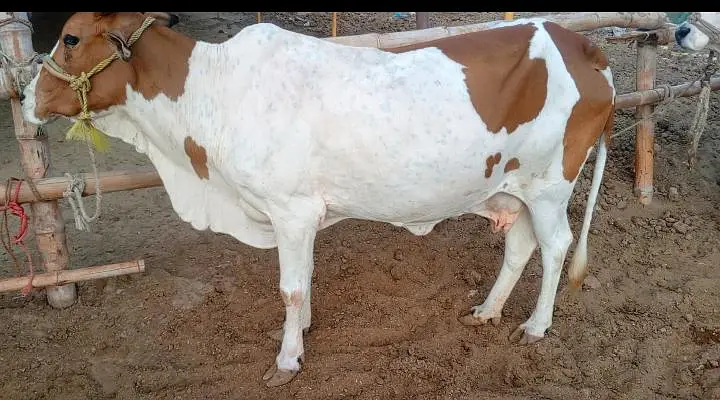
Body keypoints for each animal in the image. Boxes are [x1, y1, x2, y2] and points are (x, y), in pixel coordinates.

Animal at [21, 12, 615, 387]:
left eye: (70, 38)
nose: (26, 95)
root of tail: (583, 46)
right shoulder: (301, 213)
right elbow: (303, 279)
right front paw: (302, 330)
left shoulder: (290, 209)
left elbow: (290, 287)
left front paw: (287, 359)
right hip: (517, 187)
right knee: (520, 245)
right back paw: (488, 310)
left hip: (551, 184)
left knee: (556, 246)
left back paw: (536, 327)